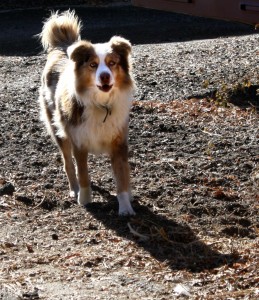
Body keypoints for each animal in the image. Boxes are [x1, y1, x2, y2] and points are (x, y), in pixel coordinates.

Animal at [39, 10, 136, 214]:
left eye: (112, 63)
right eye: (93, 65)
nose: (105, 76)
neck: (101, 103)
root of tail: (63, 45)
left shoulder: (119, 142)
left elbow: (122, 177)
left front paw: (125, 207)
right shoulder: (79, 142)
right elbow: (82, 173)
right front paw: (84, 199)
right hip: (59, 131)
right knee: (68, 163)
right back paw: (73, 190)